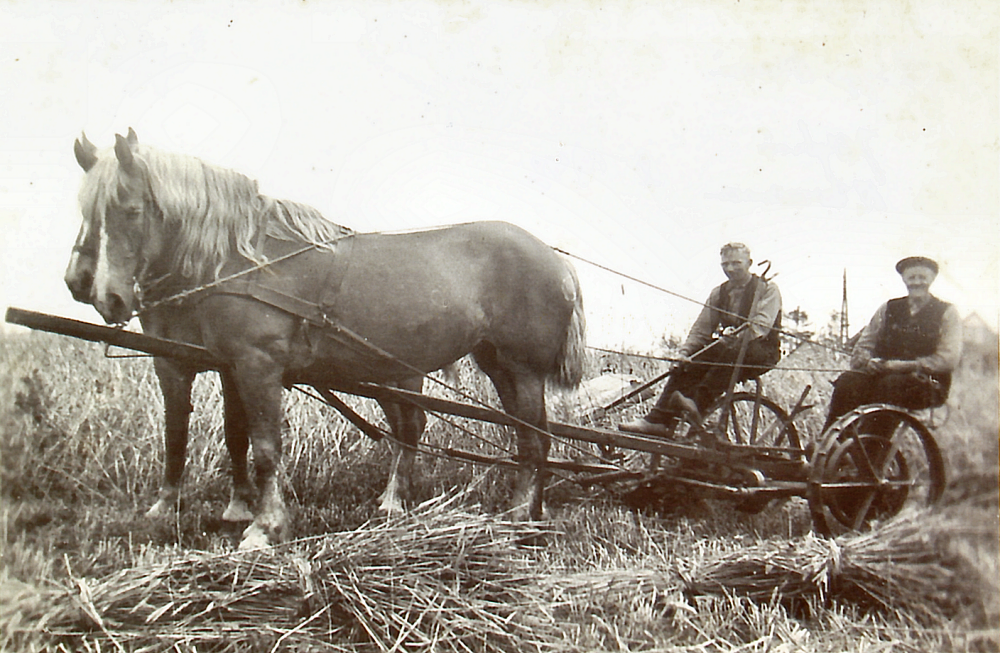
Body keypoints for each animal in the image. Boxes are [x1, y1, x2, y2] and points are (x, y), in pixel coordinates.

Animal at [68, 130, 584, 548]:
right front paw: (212, 510)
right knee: (465, 432)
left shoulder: (257, 364)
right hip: (479, 365)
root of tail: (556, 260)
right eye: (85, 209)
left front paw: (265, 527)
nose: (100, 294)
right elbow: (212, 435)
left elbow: (265, 447)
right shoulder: (218, 363)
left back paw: (518, 518)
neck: (243, 261)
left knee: (533, 441)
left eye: (131, 210)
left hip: (520, 369)